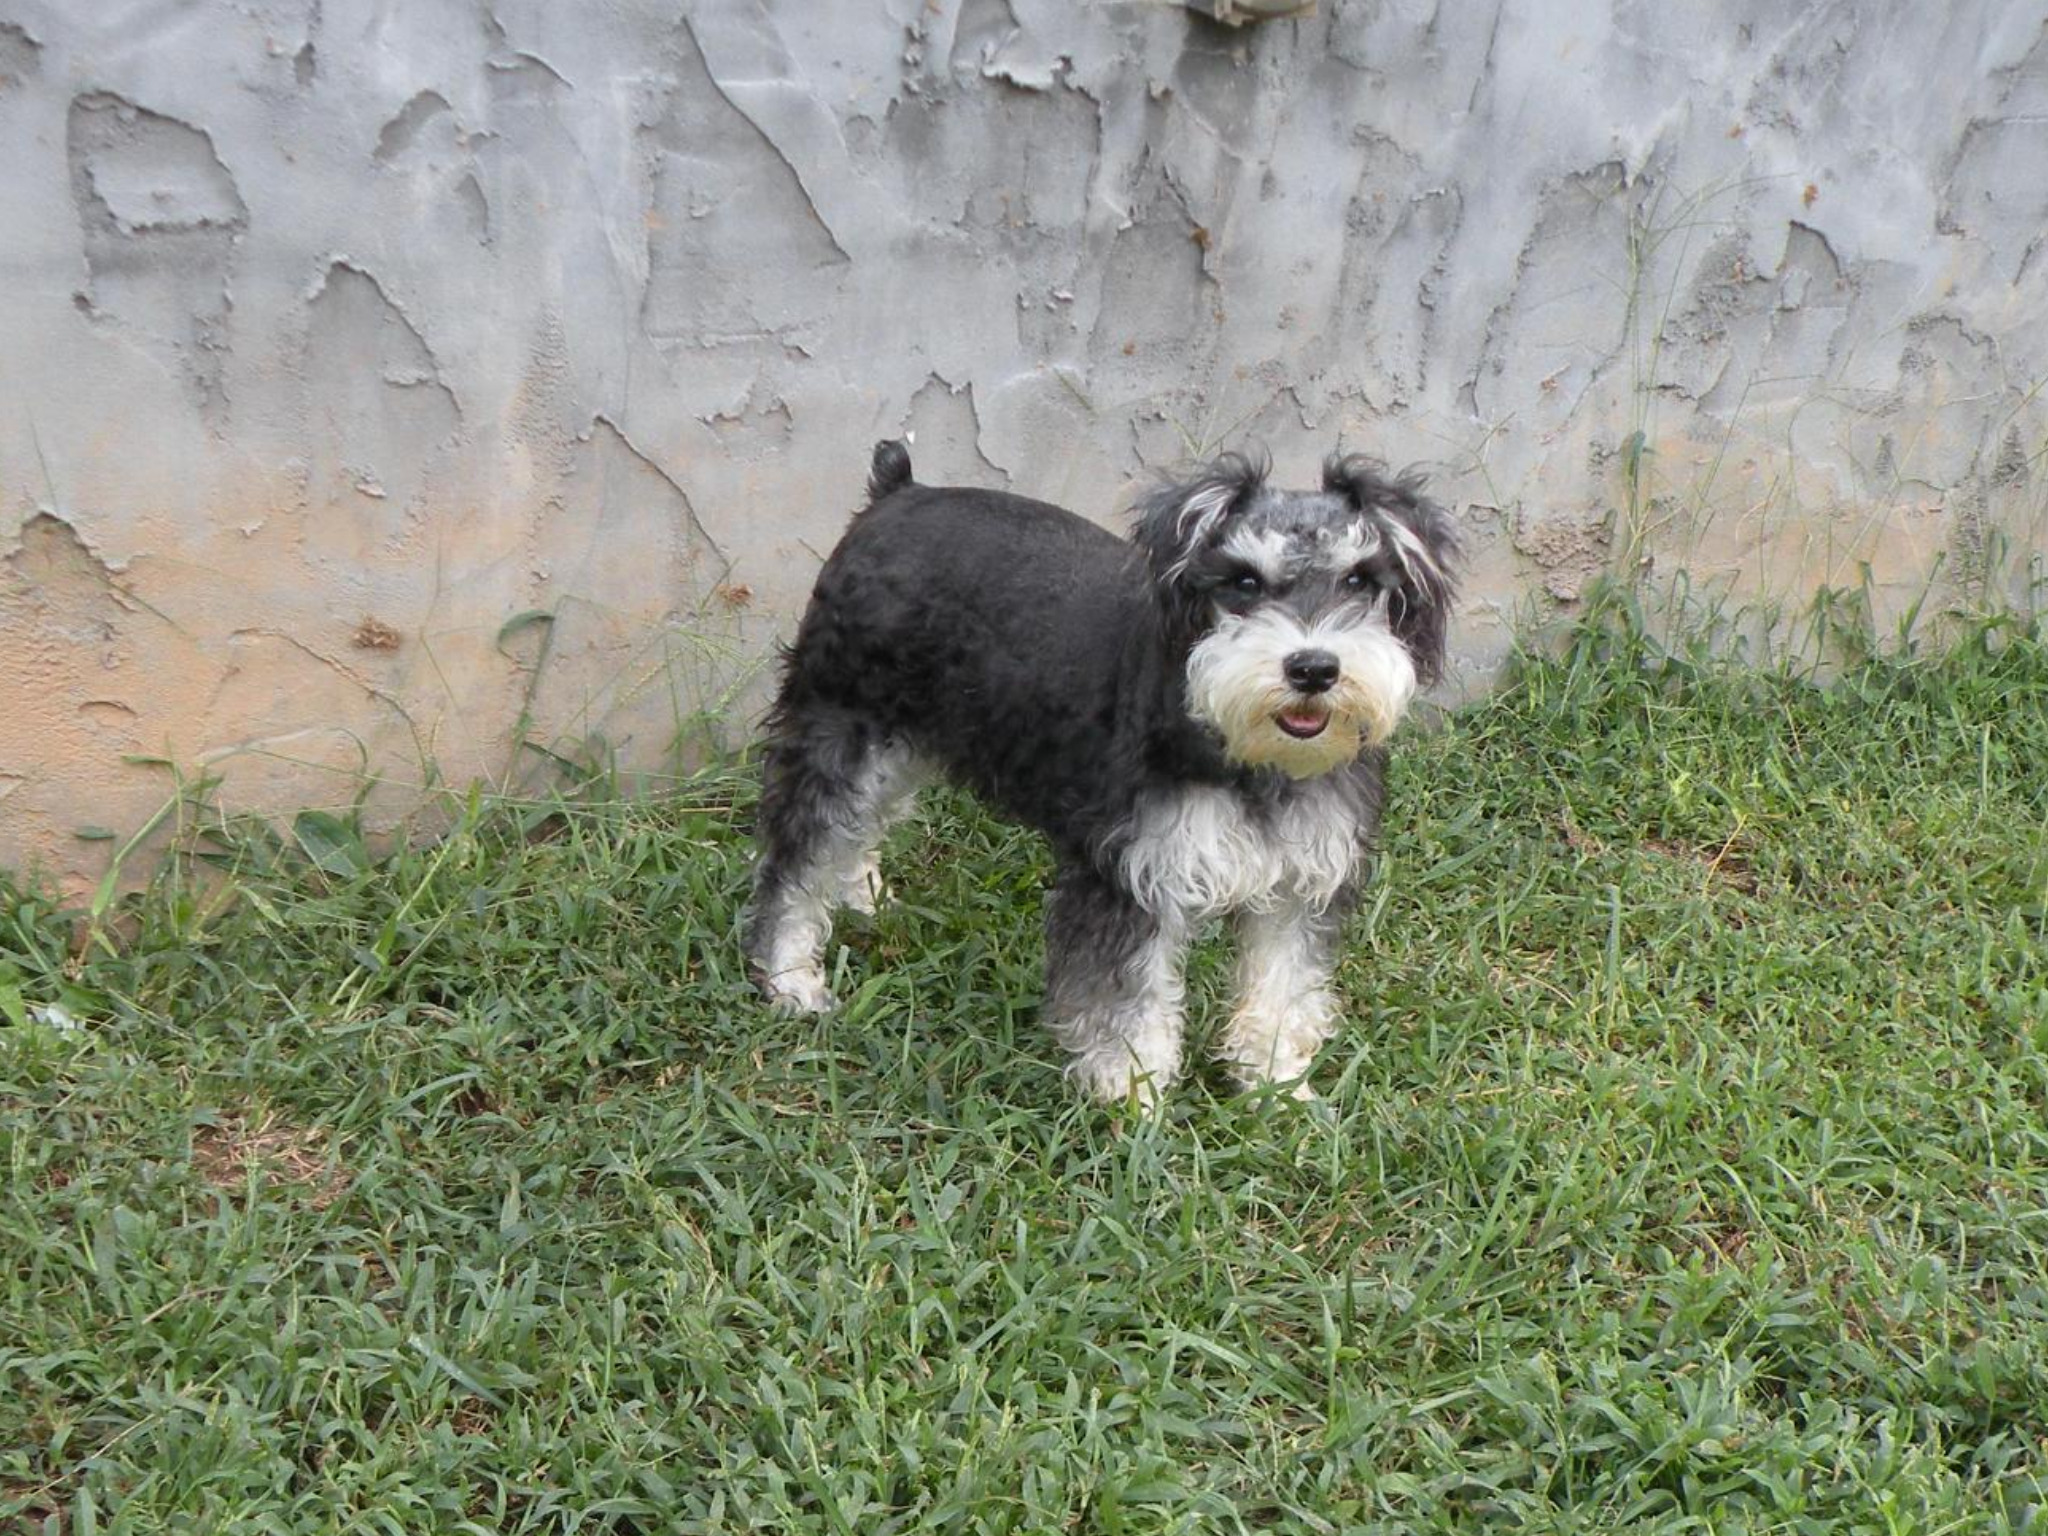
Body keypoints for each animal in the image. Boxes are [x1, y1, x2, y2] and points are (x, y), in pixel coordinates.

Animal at [749, 442, 1458, 1105]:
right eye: (1243, 583)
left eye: (1360, 580)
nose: (1313, 668)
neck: (1250, 757)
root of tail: (896, 493)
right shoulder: (1133, 880)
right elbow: (1129, 1002)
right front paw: (1132, 1102)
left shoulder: (1299, 890)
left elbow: (1283, 992)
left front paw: (1277, 1091)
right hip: (841, 735)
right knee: (798, 861)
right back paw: (791, 978)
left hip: (903, 743)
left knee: (858, 829)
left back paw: (858, 894)